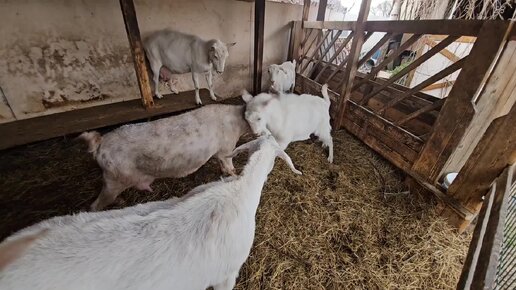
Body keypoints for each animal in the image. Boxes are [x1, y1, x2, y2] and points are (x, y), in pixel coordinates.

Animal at [76, 104, 250, 211]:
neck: (237, 124)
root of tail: (101, 143)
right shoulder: (226, 147)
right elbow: (230, 165)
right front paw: (236, 175)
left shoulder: (219, 152)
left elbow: (222, 165)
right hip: (114, 180)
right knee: (95, 205)